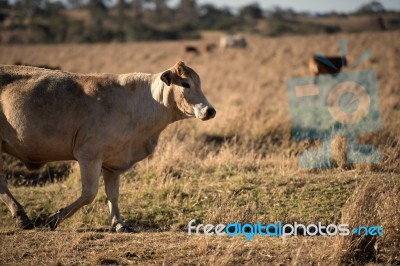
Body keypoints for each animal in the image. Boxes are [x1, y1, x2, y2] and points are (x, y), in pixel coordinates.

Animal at [0, 61, 216, 232]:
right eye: (186, 84)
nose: (210, 110)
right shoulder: (89, 155)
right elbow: (89, 194)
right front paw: (54, 219)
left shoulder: (113, 162)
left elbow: (112, 193)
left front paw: (119, 223)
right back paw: (22, 217)